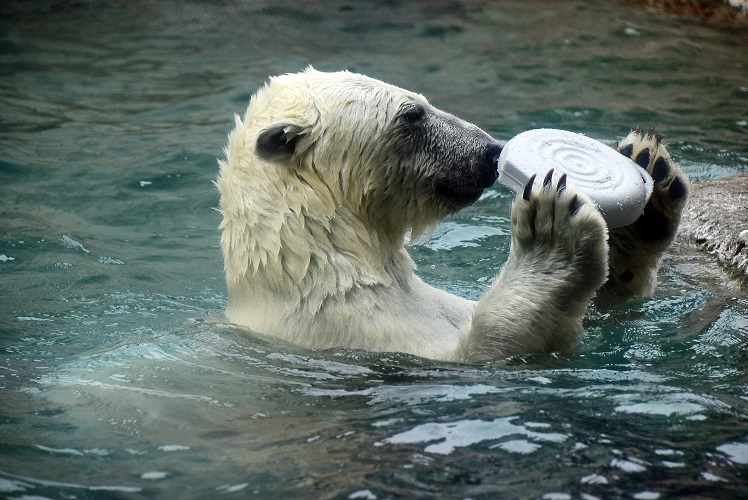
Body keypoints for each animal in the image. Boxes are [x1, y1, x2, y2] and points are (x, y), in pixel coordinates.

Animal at [218, 68, 688, 362]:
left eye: (424, 101)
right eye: (412, 113)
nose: (491, 151)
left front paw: (648, 184)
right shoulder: (348, 330)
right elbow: (486, 349)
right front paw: (551, 233)